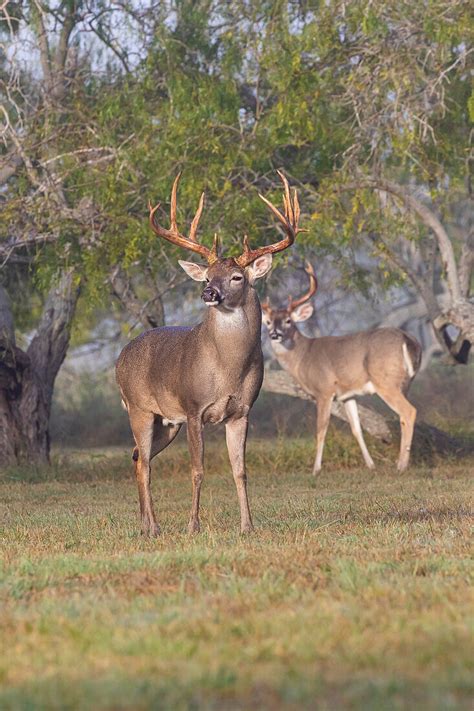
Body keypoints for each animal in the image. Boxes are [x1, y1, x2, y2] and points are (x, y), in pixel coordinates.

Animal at [115, 172, 302, 536]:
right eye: (207, 276)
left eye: (237, 276)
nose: (209, 293)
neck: (227, 369)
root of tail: (118, 360)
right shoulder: (193, 409)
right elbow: (197, 470)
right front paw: (193, 526)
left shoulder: (242, 412)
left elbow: (240, 471)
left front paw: (248, 526)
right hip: (139, 408)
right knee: (144, 463)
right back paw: (154, 527)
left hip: (165, 421)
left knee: (137, 458)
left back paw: (145, 525)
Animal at [262, 264, 422, 476]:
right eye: (268, 322)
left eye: (289, 320)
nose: (275, 334)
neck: (303, 356)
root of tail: (408, 339)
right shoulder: (347, 394)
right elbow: (356, 429)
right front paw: (371, 465)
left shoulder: (324, 390)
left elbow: (321, 429)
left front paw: (316, 469)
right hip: (404, 383)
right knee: (403, 416)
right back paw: (401, 461)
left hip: (386, 382)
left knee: (409, 411)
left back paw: (401, 465)